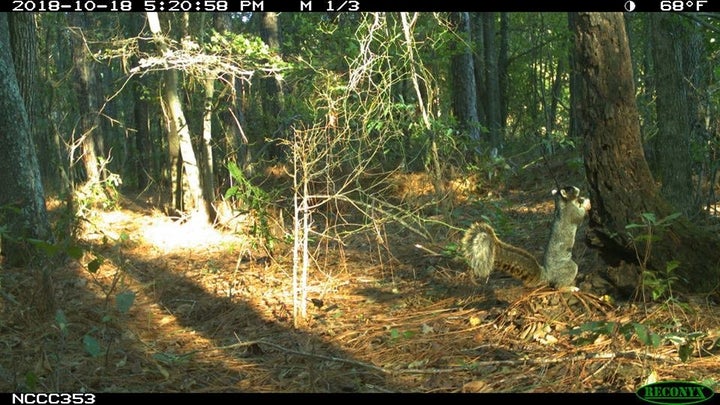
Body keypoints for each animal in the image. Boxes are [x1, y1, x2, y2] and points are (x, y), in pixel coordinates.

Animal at [461, 186, 591, 288]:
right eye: (570, 189)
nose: (578, 189)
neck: (562, 204)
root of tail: (548, 274)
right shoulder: (571, 213)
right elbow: (580, 216)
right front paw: (586, 202)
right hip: (567, 269)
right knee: (558, 286)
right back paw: (569, 288)